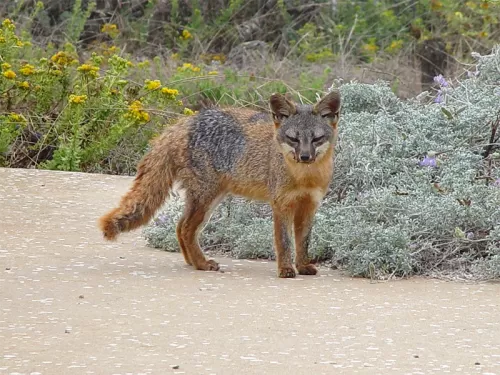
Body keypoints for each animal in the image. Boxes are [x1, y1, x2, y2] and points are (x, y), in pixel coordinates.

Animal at [97, 90, 340, 280]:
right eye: (293, 139)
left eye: (316, 139)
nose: (305, 157)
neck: (304, 176)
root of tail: (185, 123)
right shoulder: (281, 204)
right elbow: (284, 242)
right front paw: (286, 269)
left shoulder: (309, 205)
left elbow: (303, 241)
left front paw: (303, 266)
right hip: (206, 198)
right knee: (185, 228)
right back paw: (202, 264)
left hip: (208, 199)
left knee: (180, 226)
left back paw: (192, 262)